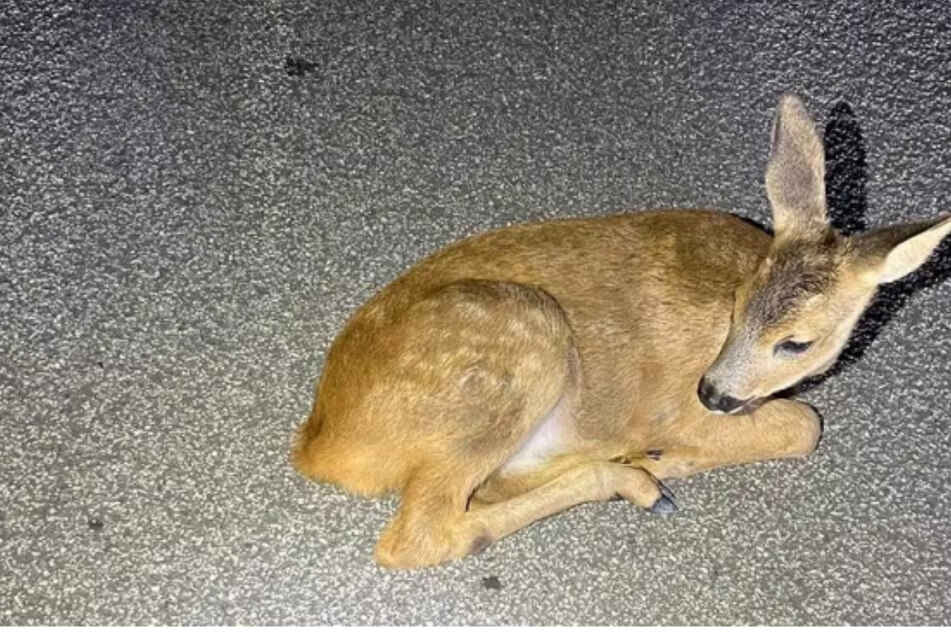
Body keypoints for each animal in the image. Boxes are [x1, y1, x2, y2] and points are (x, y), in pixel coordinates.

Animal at [292, 94, 951, 568]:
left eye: (797, 341)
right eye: (737, 307)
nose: (711, 393)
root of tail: (321, 447)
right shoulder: (677, 404)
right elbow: (803, 426)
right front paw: (669, 456)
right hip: (522, 335)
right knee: (419, 537)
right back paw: (639, 479)